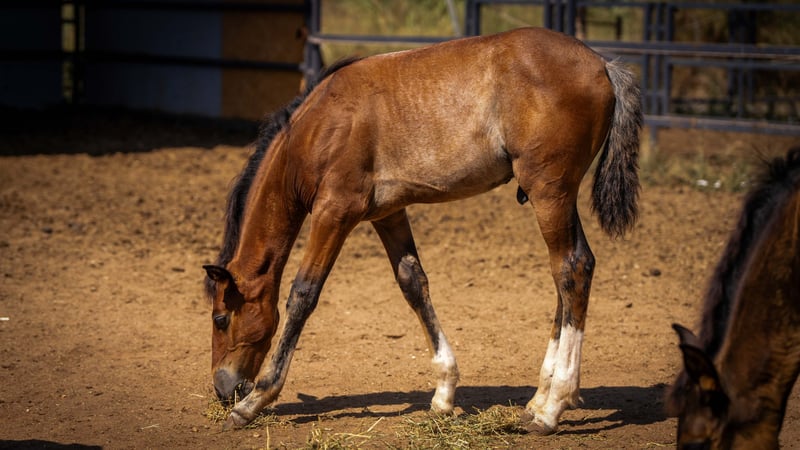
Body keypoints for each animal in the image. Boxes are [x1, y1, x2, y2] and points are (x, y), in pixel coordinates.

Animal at [203, 27, 642, 434]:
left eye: (221, 318)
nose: (224, 390)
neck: (318, 128)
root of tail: (602, 64)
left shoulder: (335, 213)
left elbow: (302, 296)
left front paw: (256, 401)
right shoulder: (388, 214)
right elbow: (413, 284)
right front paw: (444, 393)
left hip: (549, 193)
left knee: (571, 270)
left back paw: (552, 408)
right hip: (556, 197)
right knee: (570, 275)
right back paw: (537, 401)